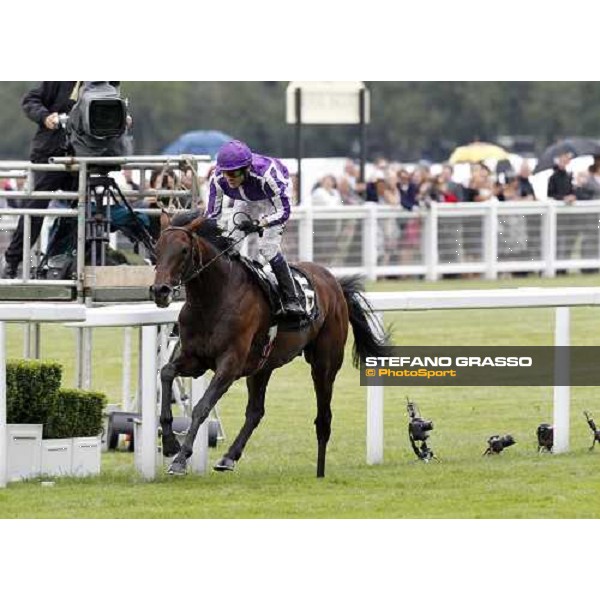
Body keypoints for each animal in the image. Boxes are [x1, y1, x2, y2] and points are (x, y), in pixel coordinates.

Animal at [152, 211, 386, 478]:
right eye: (157, 248)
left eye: (183, 250)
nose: (160, 290)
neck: (213, 299)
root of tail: (334, 283)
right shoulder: (195, 359)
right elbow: (166, 372)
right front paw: (170, 443)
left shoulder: (229, 365)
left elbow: (201, 407)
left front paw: (180, 459)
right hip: (262, 366)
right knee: (256, 411)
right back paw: (228, 457)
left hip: (324, 363)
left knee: (323, 416)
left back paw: (320, 470)